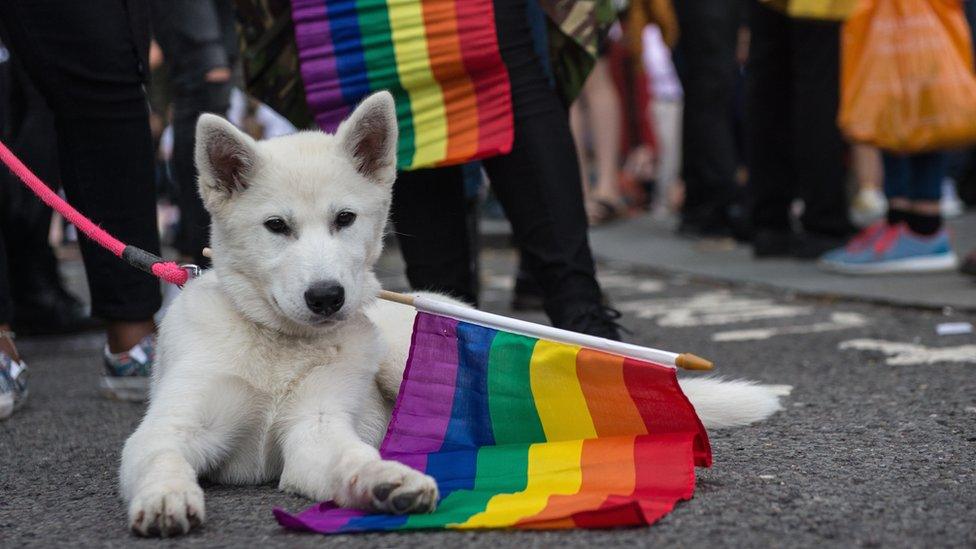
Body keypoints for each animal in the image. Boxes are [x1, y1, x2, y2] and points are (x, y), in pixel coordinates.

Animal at [120, 93, 792, 536]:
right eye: (276, 227)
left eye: (345, 219)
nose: (328, 297)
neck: (278, 344)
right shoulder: (172, 426)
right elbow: (160, 456)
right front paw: (167, 498)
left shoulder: (315, 428)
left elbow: (349, 457)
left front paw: (384, 480)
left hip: (397, 352)